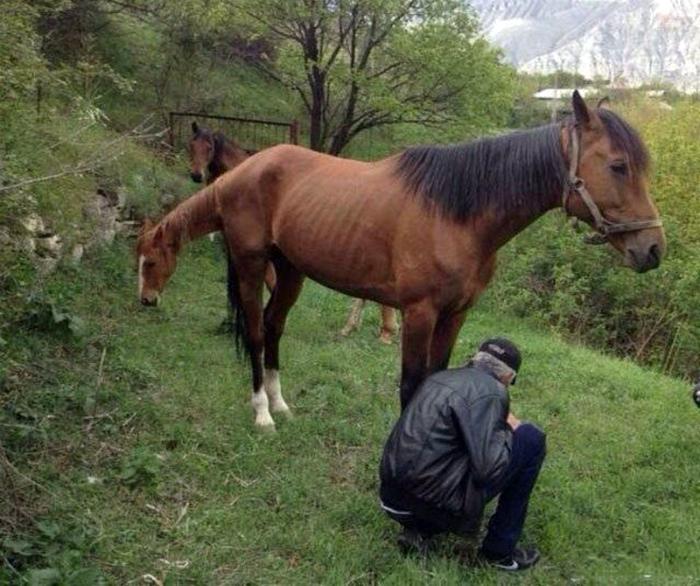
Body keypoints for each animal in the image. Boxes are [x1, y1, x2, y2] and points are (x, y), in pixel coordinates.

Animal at [138, 92, 668, 428]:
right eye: (618, 165)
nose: (653, 249)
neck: (457, 213)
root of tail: (246, 170)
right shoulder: (419, 313)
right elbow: (411, 385)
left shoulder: (455, 315)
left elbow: (435, 377)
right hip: (252, 265)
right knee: (252, 328)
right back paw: (262, 413)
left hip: (289, 271)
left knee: (272, 327)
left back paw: (280, 403)